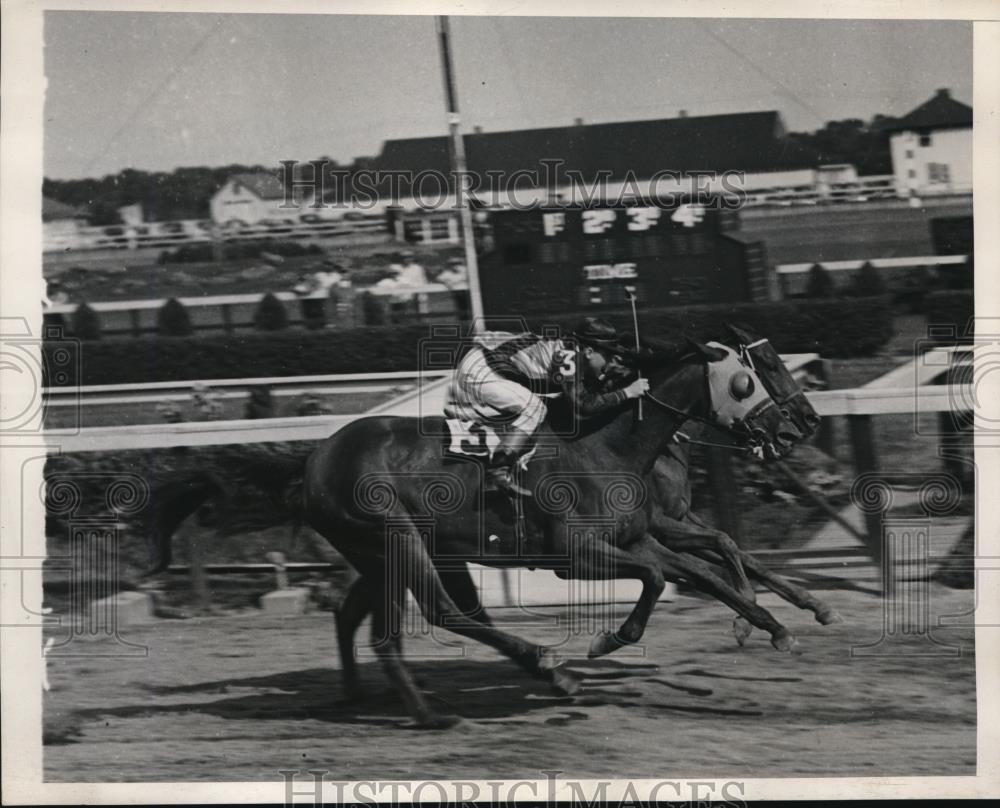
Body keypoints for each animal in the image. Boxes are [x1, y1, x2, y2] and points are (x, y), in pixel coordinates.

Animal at [302, 334, 804, 724]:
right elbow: (658, 578)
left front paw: (773, 626)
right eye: (747, 381)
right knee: (441, 613)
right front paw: (610, 639)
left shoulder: (638, 538)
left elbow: (704, 572)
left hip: (383, 555)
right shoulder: (575, 553)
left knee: (367, 622)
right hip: (396, 538)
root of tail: (318, 459)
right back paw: (468, 699)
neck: (606, 446)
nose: (791, 432)